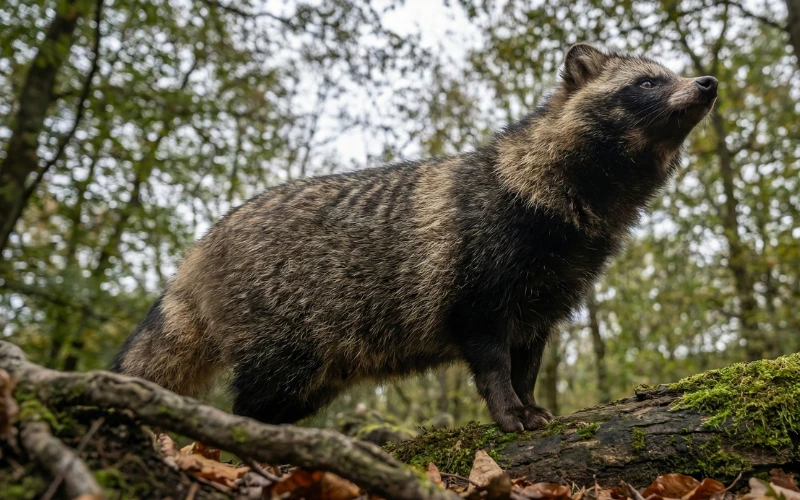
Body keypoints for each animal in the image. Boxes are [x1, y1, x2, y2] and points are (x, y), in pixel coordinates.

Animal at [112, 44, 717, 432]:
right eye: (647, 82)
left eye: (671, 73)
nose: (708, 82)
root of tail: (200, 248)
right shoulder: (478, 287)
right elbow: (493, 364)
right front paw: (508, 411)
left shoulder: (546, 300)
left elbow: (526, 366)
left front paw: (529, 403)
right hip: (284, 346)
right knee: (248, 410)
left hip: (314, 374)